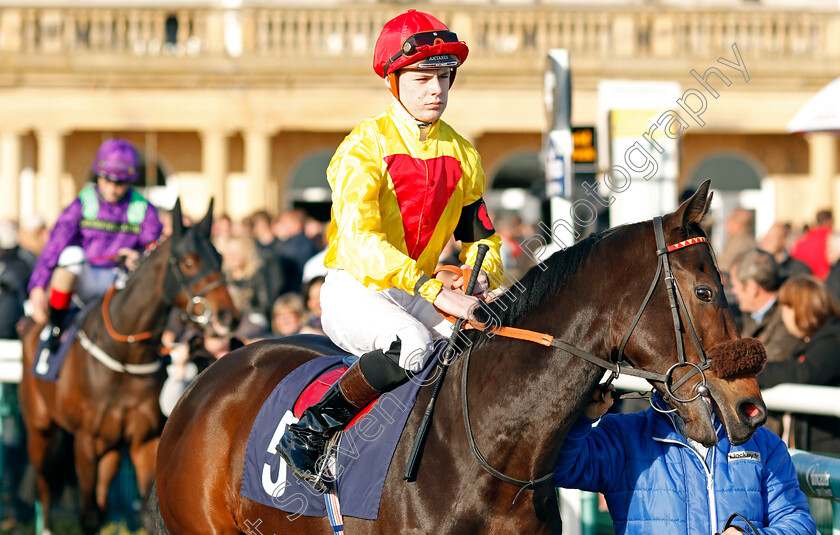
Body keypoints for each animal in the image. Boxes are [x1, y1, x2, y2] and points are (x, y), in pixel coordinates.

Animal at [18, 199, 240, 532]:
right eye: (188, 261)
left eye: (220, 257)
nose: (229, 317)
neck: (124, 358)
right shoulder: (85, 440)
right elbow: (88, 514)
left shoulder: (144, 440)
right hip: (40, 426)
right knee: (43, 482)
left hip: (109, 445)